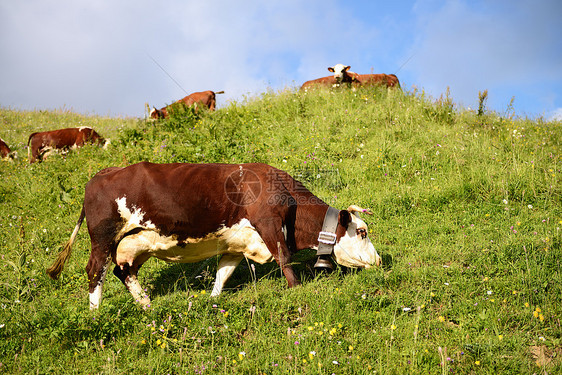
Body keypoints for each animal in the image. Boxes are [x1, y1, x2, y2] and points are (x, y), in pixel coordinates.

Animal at [48, 163, 380, 310]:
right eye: (362, 231)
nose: (378, 260)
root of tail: (99, 175)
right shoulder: (270, 225)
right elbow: (285, 259)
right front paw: (297, 291)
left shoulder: (235, 243)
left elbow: (223, 273)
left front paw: (212, 302)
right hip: (103, 238)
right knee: (95, 271)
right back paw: (95, 315)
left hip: (135, 241)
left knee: (123, 271)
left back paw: (146, 305)